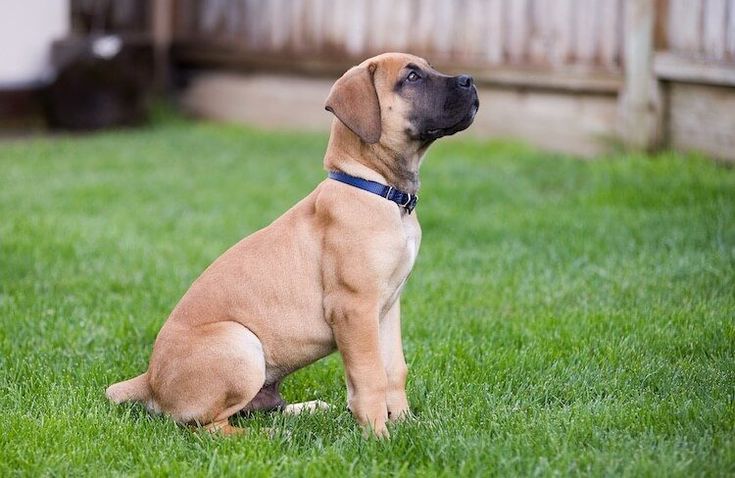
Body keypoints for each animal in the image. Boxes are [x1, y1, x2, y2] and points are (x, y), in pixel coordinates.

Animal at [106, 51, 480, 436]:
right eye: (411, 77)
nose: (469, 80)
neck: (378, 189)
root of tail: (149, 380)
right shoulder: (354, 307)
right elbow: (370, 375)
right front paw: (378, 435)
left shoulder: (388, 307)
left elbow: (394, 370)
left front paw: (406, 424)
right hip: (240, 342)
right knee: (209, 426)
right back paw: (272, 435)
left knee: (260, 407)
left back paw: (309, 410)